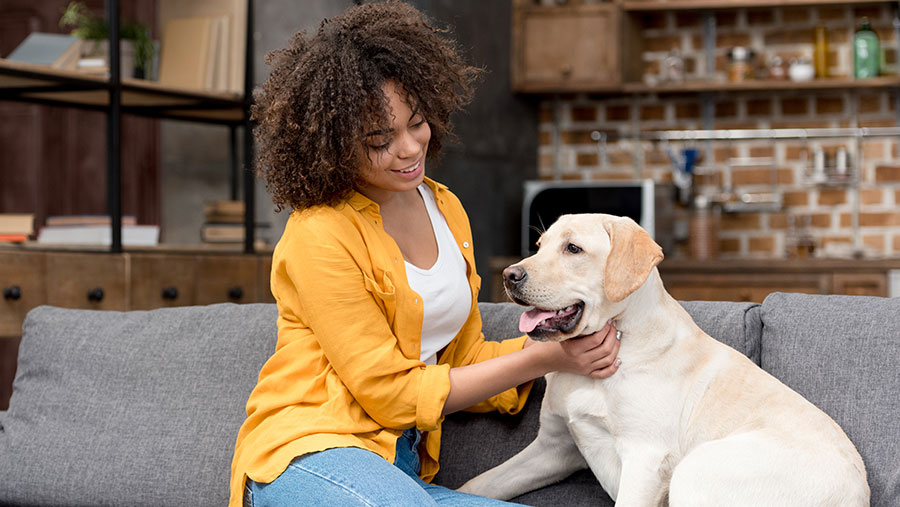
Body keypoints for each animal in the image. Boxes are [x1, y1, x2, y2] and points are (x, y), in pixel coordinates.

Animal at [460, 214, 868, 507]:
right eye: (540, 245)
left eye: (573, 248)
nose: (509, 275)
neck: (621, 340)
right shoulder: (553, 449)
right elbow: (477, 483)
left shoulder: (645, 461)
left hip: (697, 470)